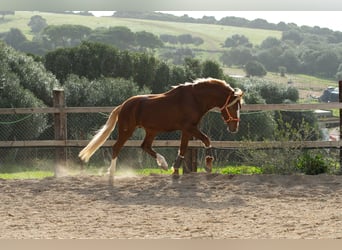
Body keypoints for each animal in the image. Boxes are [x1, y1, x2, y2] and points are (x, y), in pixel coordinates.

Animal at [79, 77, 243, 179]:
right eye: (232, 106)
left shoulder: (187, 130)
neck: (195, 99)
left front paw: (175, 170)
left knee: (145, 146)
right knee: (116, 147)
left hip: (151, 130)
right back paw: (112, 173)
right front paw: (208, 164)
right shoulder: (189, 127)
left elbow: (183, 148)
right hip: (127, 130)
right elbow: (206, 140)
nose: (234, 127)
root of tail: (123, 105)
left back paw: (163, 164)